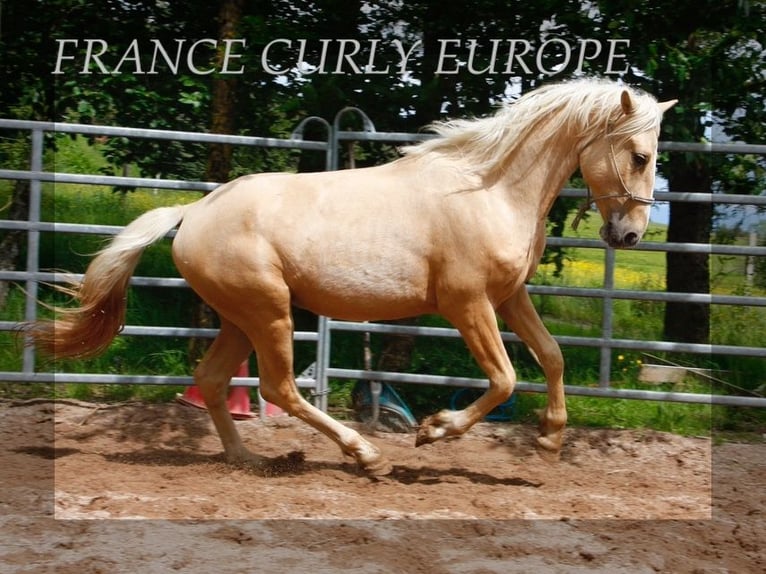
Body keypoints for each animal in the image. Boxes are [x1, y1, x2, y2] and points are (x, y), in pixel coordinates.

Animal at [31, 81, 680, 476]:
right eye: (641, 155)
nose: (631, 235)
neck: (489, 189)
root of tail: (193, 213)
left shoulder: (509, 296)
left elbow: (551, 357)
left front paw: (549, 441)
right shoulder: (467, 304)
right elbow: (503, 380)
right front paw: (432, 432)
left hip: (241, 318)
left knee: (213, 381)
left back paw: (246, 458)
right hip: (269, 312)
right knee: (278, 389)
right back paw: (366, 455)